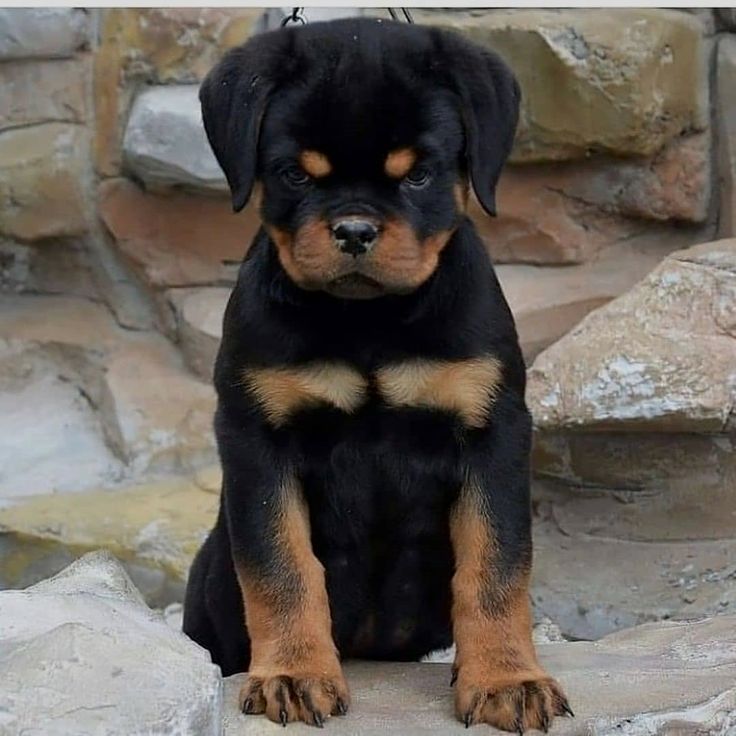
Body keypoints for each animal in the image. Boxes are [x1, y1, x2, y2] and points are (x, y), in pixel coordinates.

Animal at [183, 14, 568, 732]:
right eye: (294, 175)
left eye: (418, 177)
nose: (356, 230)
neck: (369, 320)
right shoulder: (256, 437)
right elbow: (281, 565)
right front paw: (293, 674)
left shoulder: (494, 431)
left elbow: (496, 565)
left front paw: (506, 679)